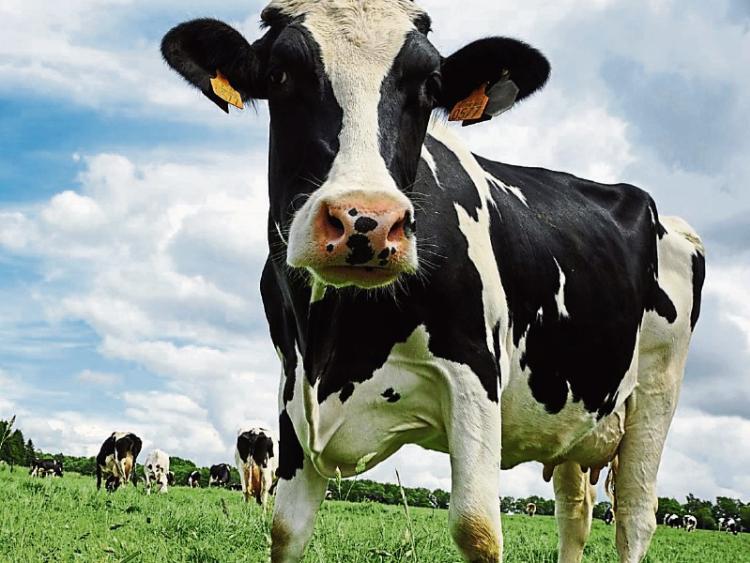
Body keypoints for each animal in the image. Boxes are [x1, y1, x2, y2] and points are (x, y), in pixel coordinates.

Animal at [162, 1, 705, 561]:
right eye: (279, 74)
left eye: (430, 83)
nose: (367, 220)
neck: (335, 340)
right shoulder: (294, 393)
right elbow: (286, 530)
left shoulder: (474, 375)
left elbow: (477, 529)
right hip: (576, 414)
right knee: (574, 514)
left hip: (656, 396)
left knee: (634, 518)